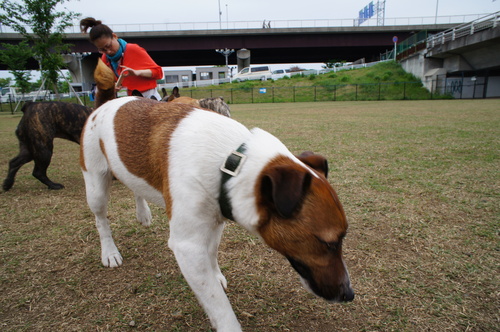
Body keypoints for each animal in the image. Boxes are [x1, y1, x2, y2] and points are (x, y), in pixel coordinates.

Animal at [80, 96, 354, 330]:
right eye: (329, 243)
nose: (349, 294)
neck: (231, 162)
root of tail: (106, 103)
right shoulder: (187, 246)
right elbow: (219, 307)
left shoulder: (216, 217)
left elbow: (211, 253)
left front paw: (216, 275)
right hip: (95, 184)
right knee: (101, 219)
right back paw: (110, 252)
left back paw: (143, 213)